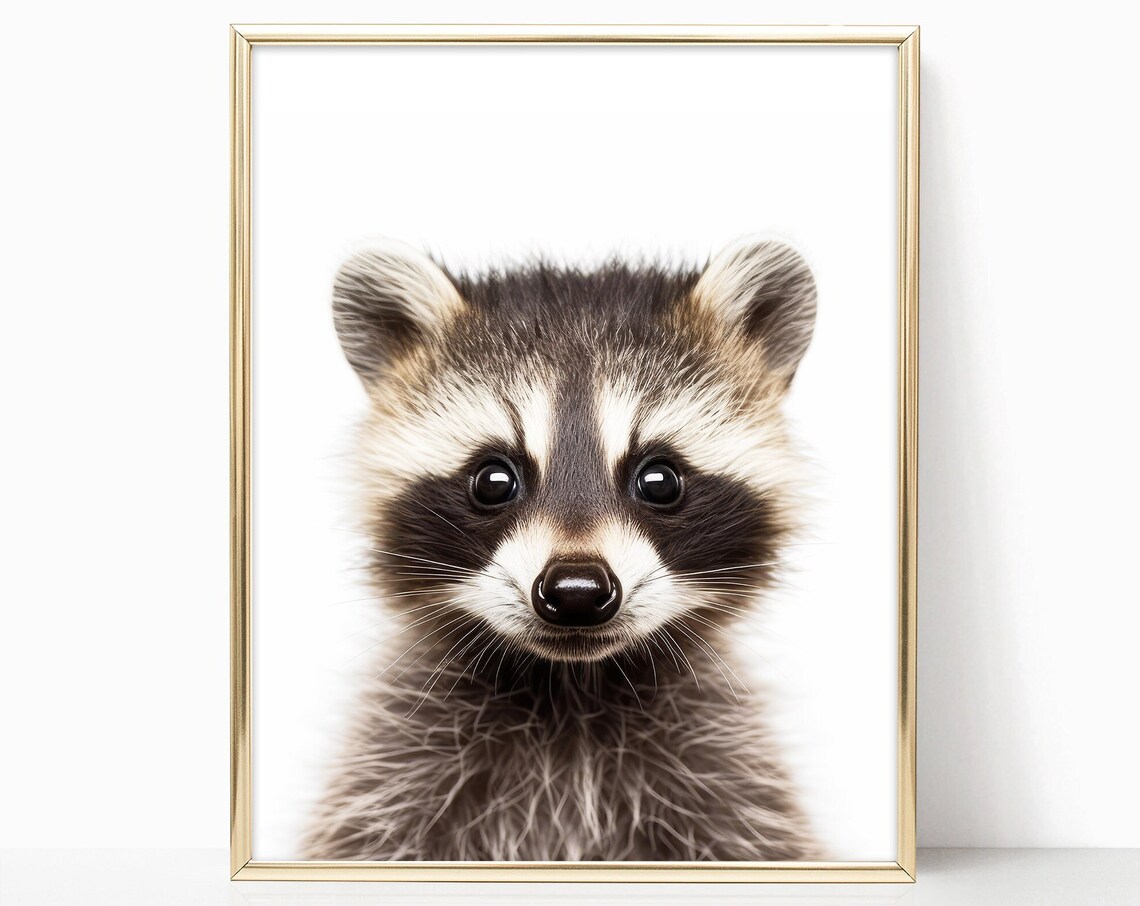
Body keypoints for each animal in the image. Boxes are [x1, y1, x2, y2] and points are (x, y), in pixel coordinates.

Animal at [304, 237, 820, 862]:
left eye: (660, 480)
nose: (577, 591)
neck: (571, 690)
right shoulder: (392, 775)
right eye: (493, 481)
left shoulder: (729, 787)